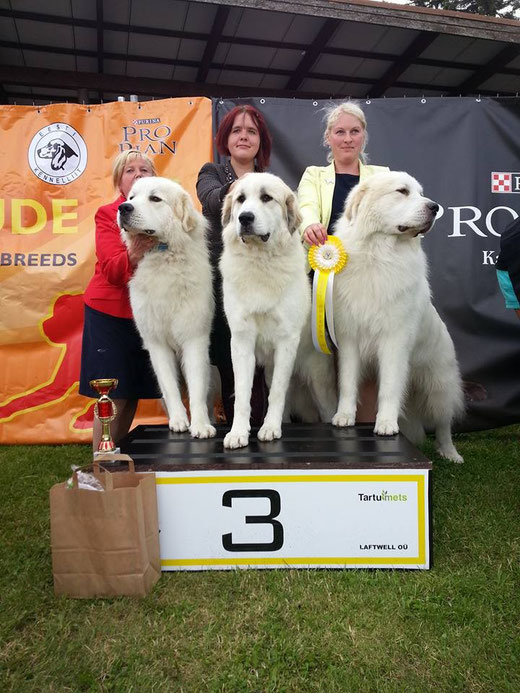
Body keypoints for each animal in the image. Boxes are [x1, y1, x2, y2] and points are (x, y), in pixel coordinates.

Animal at [118, 177, 215, 438]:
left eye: (155, 198)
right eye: (131, 197)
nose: (123, 208)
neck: (163, 256)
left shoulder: (194, 338)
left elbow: (197, 388)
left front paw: (200, 425)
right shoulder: (156, 343)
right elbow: (170, 388)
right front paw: (179, 421)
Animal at [220, 170, 338, 446]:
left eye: (266, 198)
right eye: (241, 199)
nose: (245, 218)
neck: (260, 261)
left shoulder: (286, 340)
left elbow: (276, 394)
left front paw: (270, 428)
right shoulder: (241, 340)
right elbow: (243, 393)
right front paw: (238, 433)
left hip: (319, 382)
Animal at [332, 172, 466, 464]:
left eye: (420, 193)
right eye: (402, 191)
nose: (435, 207)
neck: (378, 254)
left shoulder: (394, 340)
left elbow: (391, 387)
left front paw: (385, 424)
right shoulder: (349, 339)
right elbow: (347, 382)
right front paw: (344, 416)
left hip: (439, 384)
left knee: (444, 423)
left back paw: (450, 453)